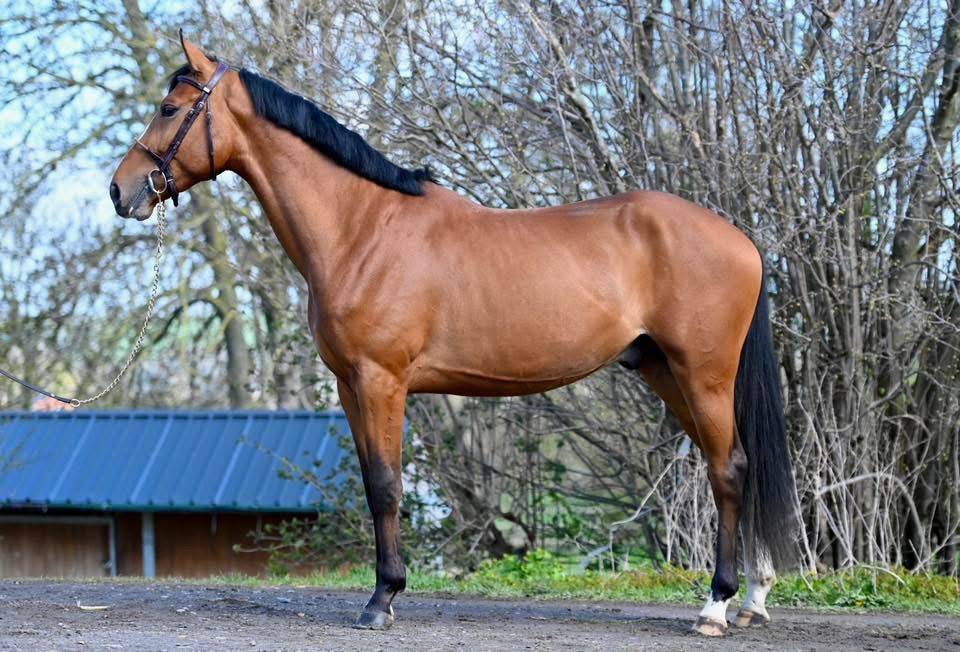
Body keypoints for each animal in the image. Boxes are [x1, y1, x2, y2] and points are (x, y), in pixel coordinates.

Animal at [110, 33, 797, 637]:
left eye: (170, 108)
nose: (121, 191)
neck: (363, 227)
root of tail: (741, 239)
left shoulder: (381, 382)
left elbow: (386, 487)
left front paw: (381, 601)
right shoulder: (350, 387)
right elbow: (374, 483)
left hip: (703, 375)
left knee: (730, 469)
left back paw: (716, 607)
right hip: (666, 372)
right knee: (735, 465)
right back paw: (753, 598)